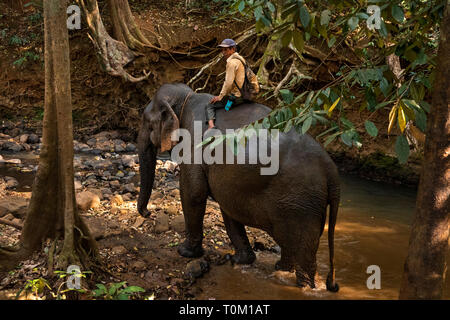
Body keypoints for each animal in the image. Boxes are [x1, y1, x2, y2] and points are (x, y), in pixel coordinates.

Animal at [139, 83, 340, 292]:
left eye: (147, 123)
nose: (147, 213)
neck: (187, 97)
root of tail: (331, 170)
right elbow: (227, 208)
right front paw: (240, 260)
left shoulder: (194, 147)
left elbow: (193, 194)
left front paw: (185, 252)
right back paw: (281, 269)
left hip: (300, 202)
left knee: (299, 247)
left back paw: (305, 287)